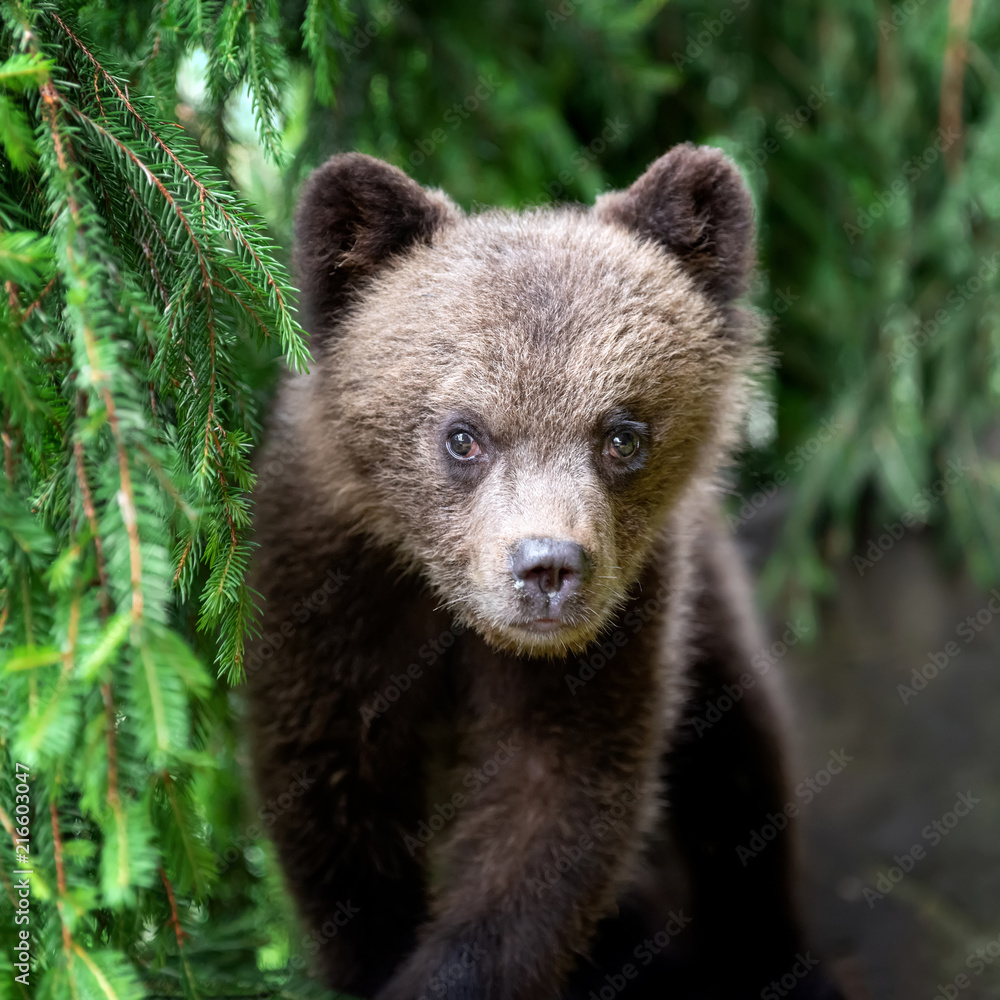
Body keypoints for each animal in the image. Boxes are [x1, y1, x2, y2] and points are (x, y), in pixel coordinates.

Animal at [244, 143, 844, 1000]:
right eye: (463, 434)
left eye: (623, 434)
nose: (548, 567)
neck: (450, 612)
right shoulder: (330, 592)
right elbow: (335, 801)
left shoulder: (619, 628)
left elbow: (557, 805)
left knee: (739, 761)